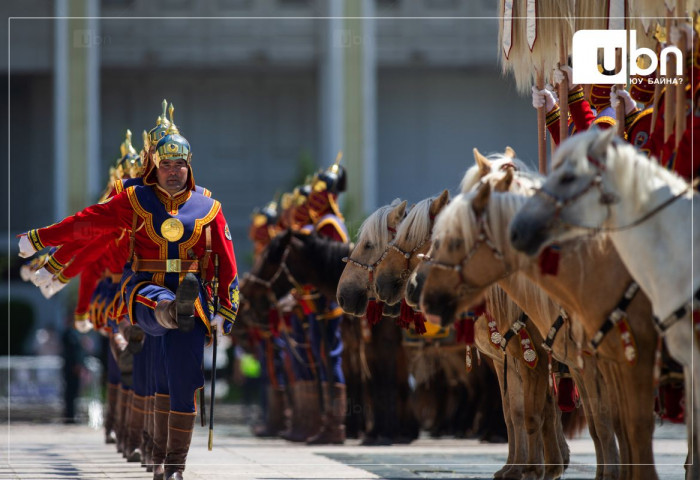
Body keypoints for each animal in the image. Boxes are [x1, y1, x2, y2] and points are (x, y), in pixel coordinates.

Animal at [508, 125, 700, 478]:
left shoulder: (623, 357)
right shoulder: (598, 361)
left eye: (569, 177)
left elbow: (615, 421)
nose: (518, 231)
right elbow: (611, 422)